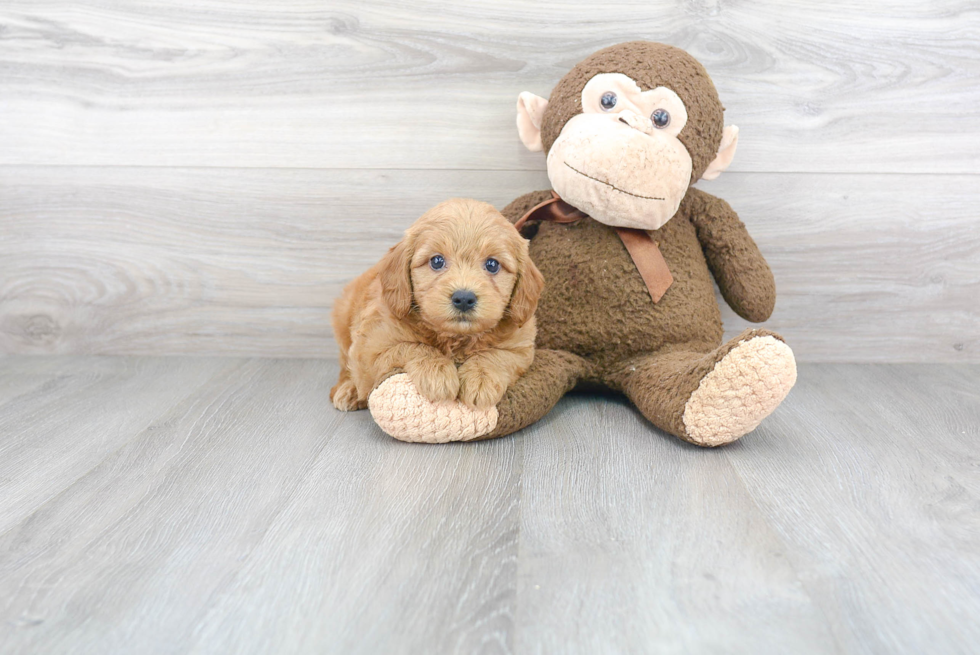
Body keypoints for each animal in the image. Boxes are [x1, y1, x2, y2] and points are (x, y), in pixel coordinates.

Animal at [330, 200, 544, 416]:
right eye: (437, 261)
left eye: (492, 265)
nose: (464, 298)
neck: (455, 338)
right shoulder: (370, 347)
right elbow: (411, 346)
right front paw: (438, 373)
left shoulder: (521, 349)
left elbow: (497, 355)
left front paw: (481, 378)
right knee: (344, 367)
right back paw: (348, 390)